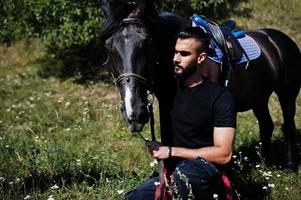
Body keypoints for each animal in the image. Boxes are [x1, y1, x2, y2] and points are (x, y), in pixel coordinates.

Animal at [99, 0, 300, 170]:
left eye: (147, 41)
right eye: (108, 47)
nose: (133, 113)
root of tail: (279, 39)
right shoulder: (167, 105)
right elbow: (168, 140)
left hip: (287, 95)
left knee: (289, 125)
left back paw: (290, 164)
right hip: (259, 98)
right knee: (267, 125)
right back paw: (264, 163)